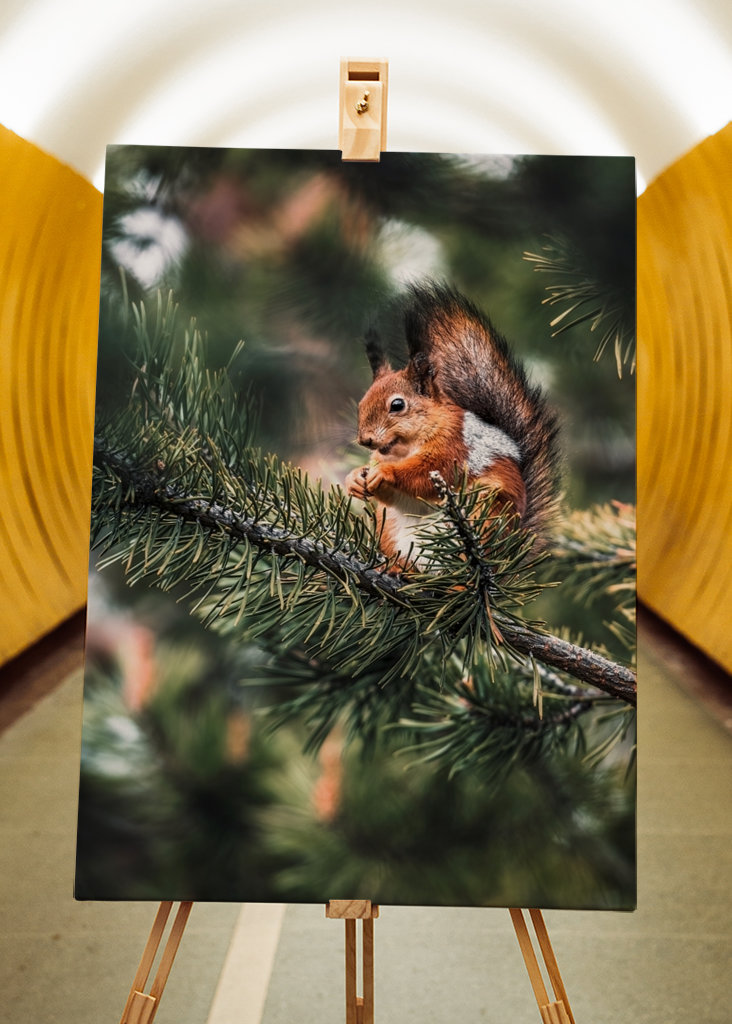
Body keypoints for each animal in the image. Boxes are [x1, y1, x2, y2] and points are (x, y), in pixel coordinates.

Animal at [344, 284, 561, 566]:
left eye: (397, 405)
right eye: (361, 403)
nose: (365, 440)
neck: (405, 449)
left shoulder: (453, 446)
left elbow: (427, 472)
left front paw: (386, 472)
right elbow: (395, 496)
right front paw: (353, 478)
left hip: (486, 513)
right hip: (390, 528)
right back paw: (396, 570)